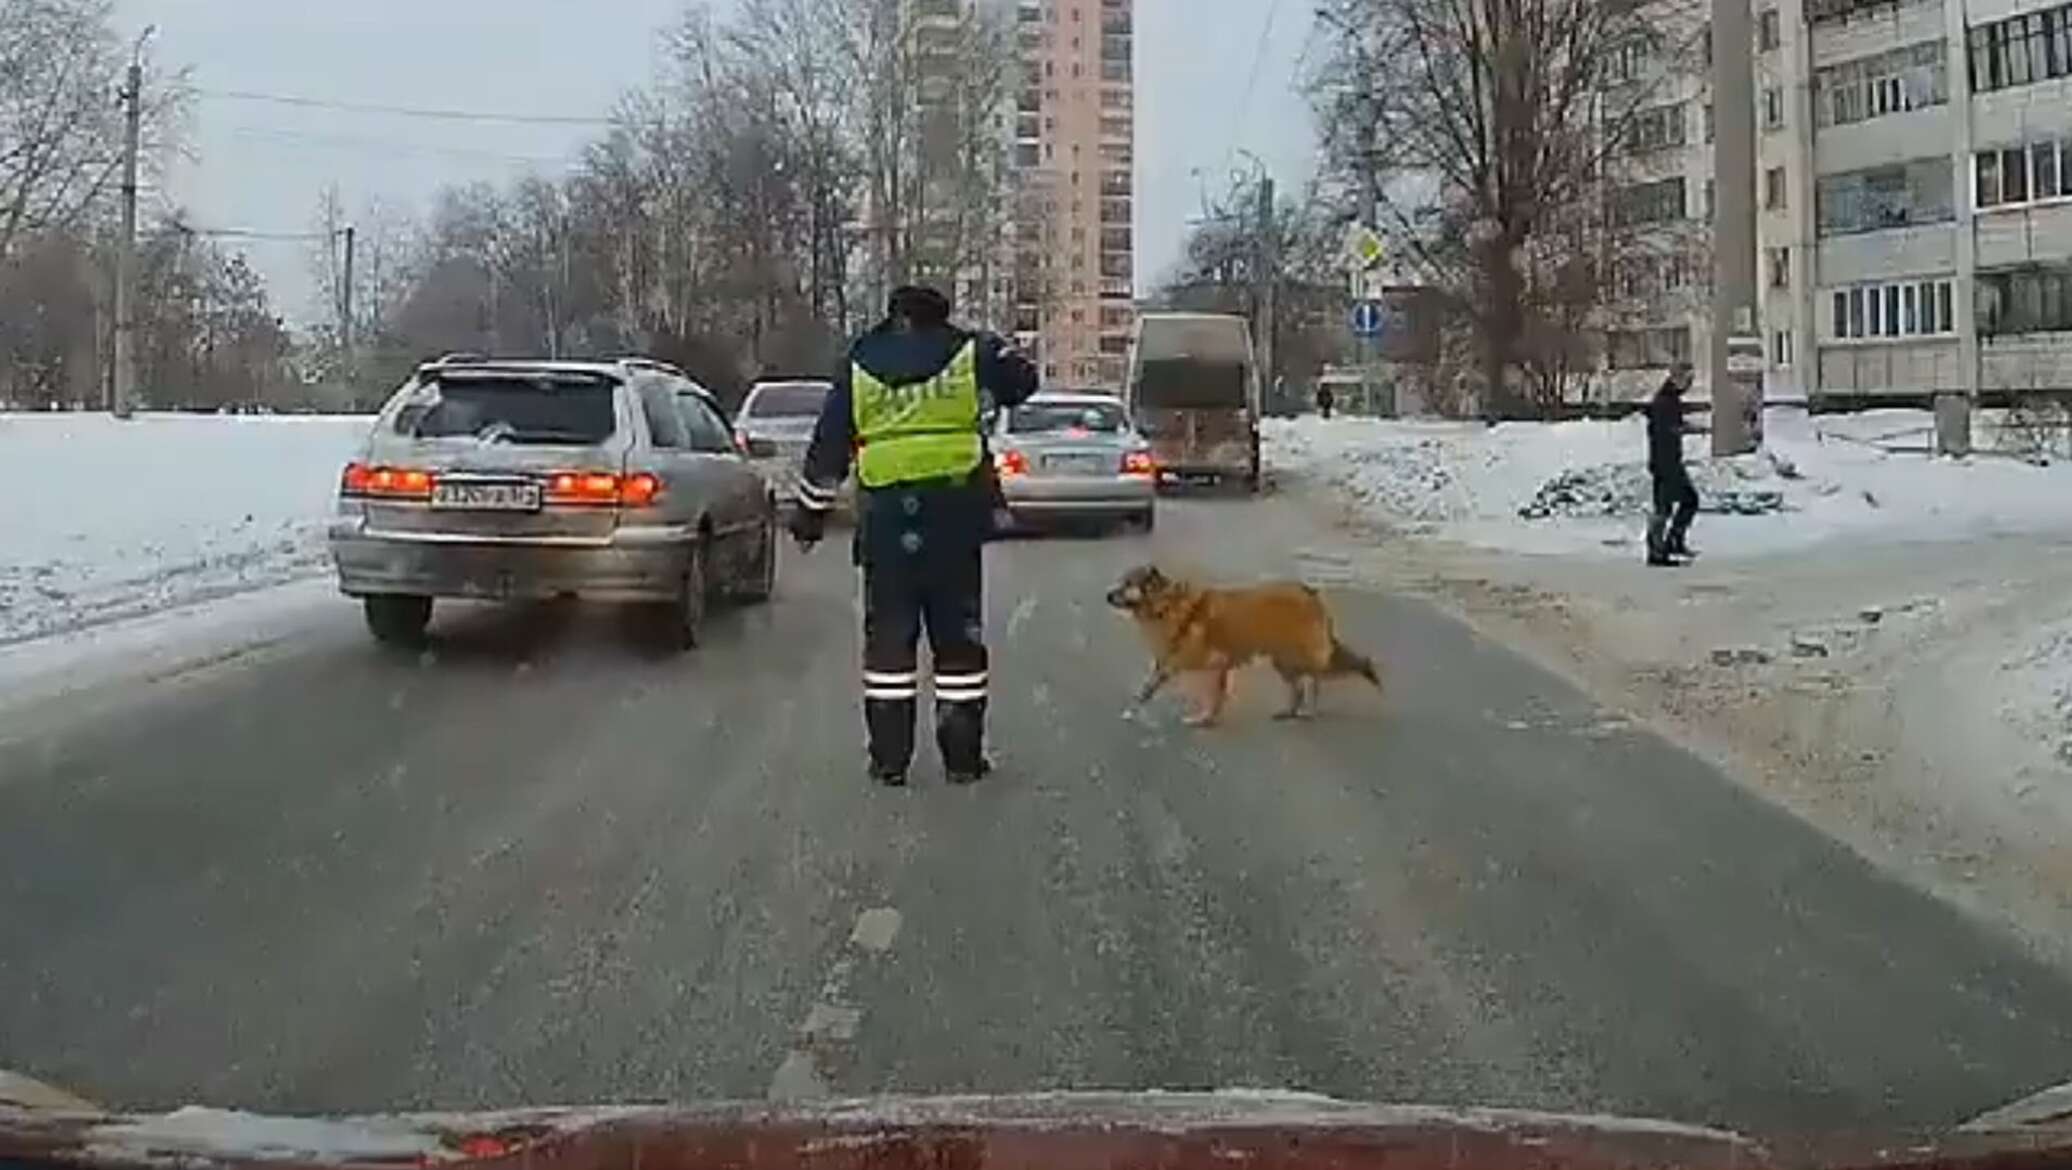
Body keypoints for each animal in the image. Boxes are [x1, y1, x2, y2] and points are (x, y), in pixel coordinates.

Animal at [1110, 563, 1384, 724]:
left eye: (1128, 584)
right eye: (1121, 581)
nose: (1107, 595)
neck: (1165, 605)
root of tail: (1309, 592)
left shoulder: (1214, 664)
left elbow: (1212, 695)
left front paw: (1204, 718)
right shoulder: (1169, 663)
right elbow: (1147, 687)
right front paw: (1134, 706)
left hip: (1298, 655)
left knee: (1314, 679)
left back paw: (1309, 710)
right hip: (1282, 659)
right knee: (1299, 686)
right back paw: (1290, 711)